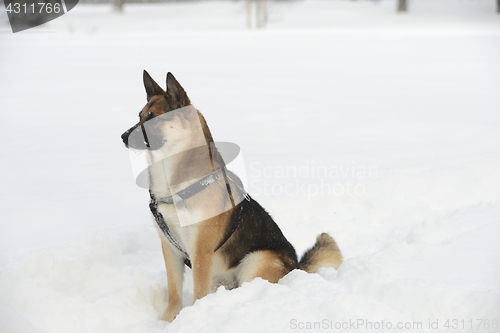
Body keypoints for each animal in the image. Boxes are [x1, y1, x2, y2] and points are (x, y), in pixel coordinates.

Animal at [120, 70, 344, 322]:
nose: (123, 137)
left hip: (255, 260)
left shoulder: (201, 251)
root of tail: (295, 267)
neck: (173, 184)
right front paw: (168, 321)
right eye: (140, 116)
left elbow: (198, 293)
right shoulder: (170, 248)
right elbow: (175, 294)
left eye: (153, 118)